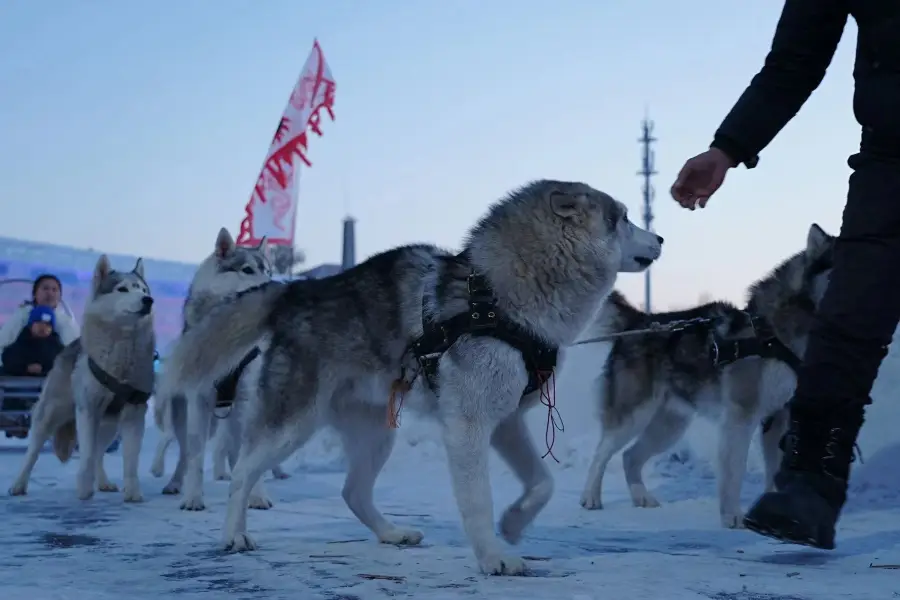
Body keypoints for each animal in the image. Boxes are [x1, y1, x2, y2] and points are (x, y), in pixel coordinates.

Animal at [8, 255, 156, 500]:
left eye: (143, 289)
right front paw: (84, 491)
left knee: (99, 452)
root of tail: (70, 346)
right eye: (122, 289)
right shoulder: (88, 409)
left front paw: (133, 493)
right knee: (34, 451)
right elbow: (85, 454)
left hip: (109, 426)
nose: (148, 300)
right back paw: (18, 484)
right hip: (50, 413)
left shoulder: (134, 413)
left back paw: (104, 482)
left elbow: (130, 461)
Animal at [151, 227, 284, 508]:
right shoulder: (199, 401)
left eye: (268, 271)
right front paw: (193, 498)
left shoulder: (247, 400)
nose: (274, 286)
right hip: (191, 419)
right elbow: (196, 457)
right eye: (247, 270)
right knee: (186, 453)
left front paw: (257, 496)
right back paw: (175, 483)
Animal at [580, 223, 832, 528]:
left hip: (670, 425)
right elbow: (734, 471)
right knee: (602, 452)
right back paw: (590, 497)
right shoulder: (741, 417)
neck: (773, 333)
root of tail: (640, 320)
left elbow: (775, 470)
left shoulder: (779, 417)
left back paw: (642, 497)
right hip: (633, 415)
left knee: (630, 456)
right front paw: (732, 515)